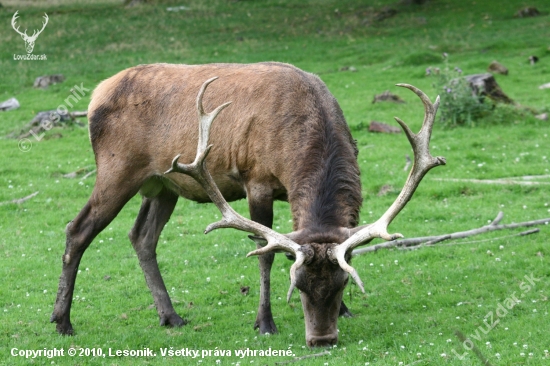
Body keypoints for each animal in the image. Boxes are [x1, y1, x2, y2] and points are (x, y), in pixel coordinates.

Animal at [51, 62, 446, 346]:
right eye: (299, 287)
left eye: (340, 285)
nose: (322, 340)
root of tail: (95, 94)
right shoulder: (257, 182)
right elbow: (265, 253)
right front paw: (265, 322)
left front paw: (347, 311)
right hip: (116, 170)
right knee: (77, 229)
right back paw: (62, 321)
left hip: (164, 184)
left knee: (141, 237)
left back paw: (170, 315)